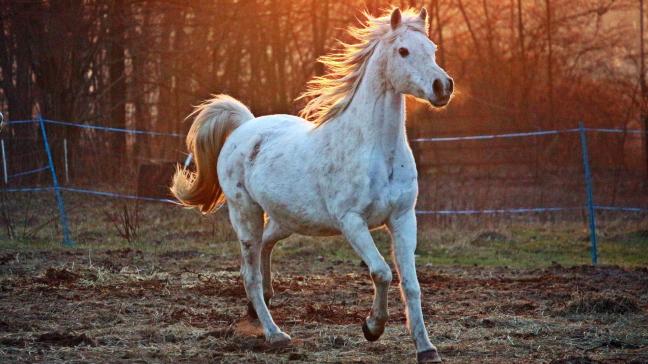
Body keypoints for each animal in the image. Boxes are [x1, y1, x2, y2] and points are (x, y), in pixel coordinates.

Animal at [172, 7, 456, 362]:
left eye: (432, 48)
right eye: (403, 51)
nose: (442, 86)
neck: (376, 151)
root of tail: (244, 127)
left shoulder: (403, 218)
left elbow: (411, 284)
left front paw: (426, 348)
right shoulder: (352, 222)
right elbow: (382, 272)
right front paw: (372, 328)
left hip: (286, 219)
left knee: (265, 247)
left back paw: (259, 307)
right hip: (245, 214)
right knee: (249, 273)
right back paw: (275, 333)